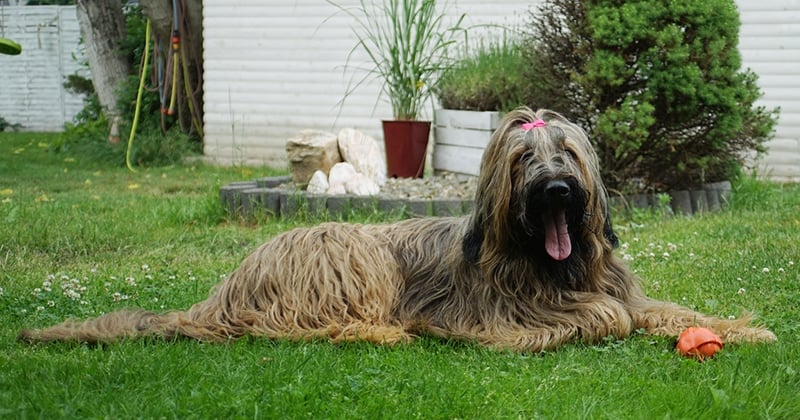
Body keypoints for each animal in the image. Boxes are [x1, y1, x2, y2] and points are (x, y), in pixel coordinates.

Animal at [17, 108, 776, 352]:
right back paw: (386, 330)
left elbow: (660, 309)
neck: (549, 264)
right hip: (347, 248)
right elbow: (606, 318)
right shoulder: (501, 315)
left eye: (568, 153)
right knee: (311, 325)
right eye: (524, 159)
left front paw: (742, 328)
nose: (558, 191)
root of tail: (229, 285)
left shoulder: (623, 290)